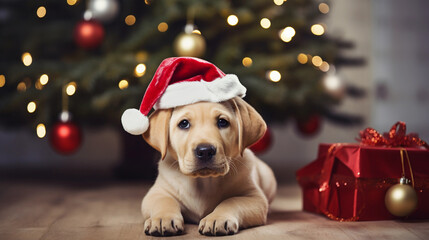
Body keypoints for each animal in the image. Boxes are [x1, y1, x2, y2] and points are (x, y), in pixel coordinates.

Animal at [140, 96, 274, 235]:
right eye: (184, 123)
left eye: (222, 122)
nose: (205, 151)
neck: (203, 182)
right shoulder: (157, 192)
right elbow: (163, 201)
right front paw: (162, 218)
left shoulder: (255, 198)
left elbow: (232, 201)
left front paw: (218, 218)